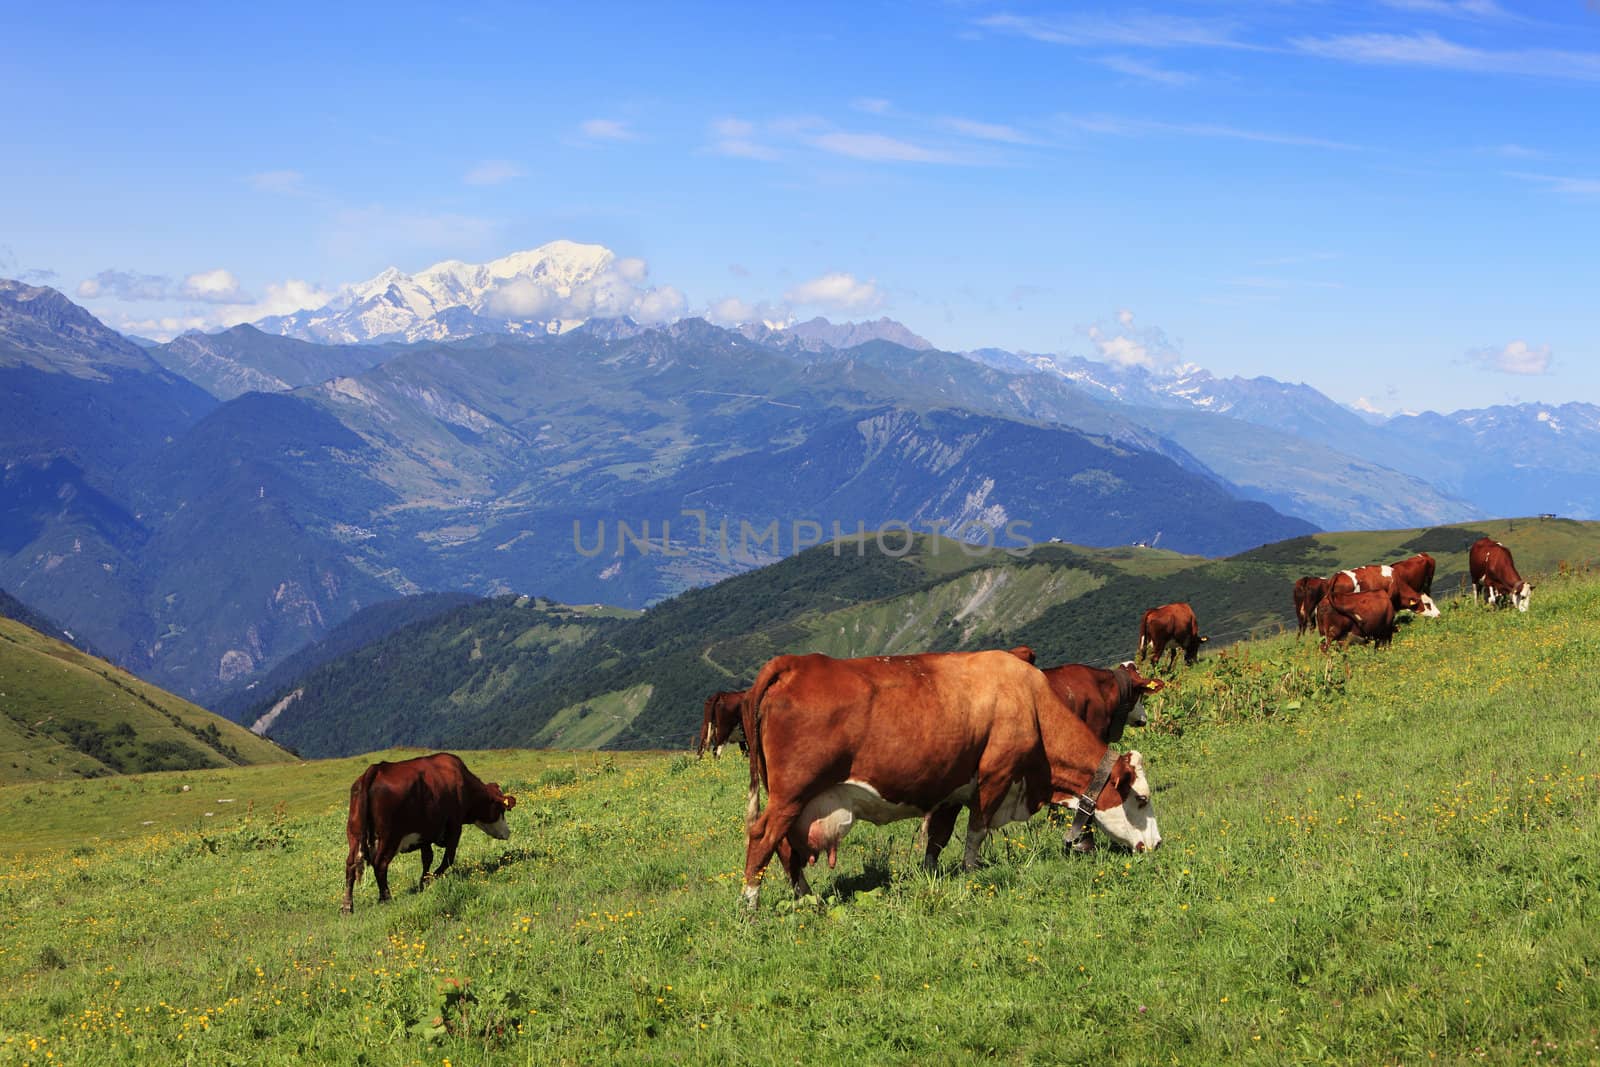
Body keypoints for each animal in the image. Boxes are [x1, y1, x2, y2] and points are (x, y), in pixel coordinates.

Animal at [344, 755, 518, 915]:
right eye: (501, 809)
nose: (508, 832)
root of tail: (376, 769)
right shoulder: (455, 826)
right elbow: (448, 858)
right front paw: (430, 880)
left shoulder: (425, 834)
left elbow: (427, 858)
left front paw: (424, 881)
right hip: (389, 837)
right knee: (380, 864)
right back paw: (385, 898)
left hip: (354, 834)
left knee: (351, 865)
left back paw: (347, 906)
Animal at [736, 652, 1164, 908]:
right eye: (1141, 799)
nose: (1158, 844)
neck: (1031, 703)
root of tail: (795, 663)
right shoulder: (995, 775)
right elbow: (976, 831)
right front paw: (972, 874)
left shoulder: (952, 788)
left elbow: (938, 839)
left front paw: (930, 875)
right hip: (791, 794)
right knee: (762, 838)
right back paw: (750, 906)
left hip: (794, 800)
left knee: (785, 848)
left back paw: (807, 898)